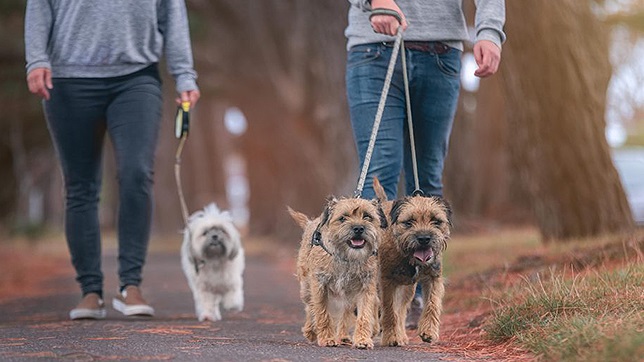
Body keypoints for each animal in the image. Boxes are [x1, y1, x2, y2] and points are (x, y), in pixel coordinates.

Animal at [288, 197, 388, 350]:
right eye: (342, 218)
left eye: (367, 217)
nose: (359, 228)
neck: (347, 258)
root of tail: (312, 223)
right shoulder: (320, 286)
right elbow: (322, 313)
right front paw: (327, 338)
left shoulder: (364, 288)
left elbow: (364, 315)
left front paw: (362, 339)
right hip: (305, 287)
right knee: (310, 306)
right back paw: (310, 330)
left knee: (347, 312)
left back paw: (344, 336)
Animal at [372, 180, 452, 346]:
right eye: (408, 222)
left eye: (436, 221)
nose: (424, 238)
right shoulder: (387, 281)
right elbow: (389, 310)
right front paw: (390, 337)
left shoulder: (434, 277)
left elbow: (432, 304)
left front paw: (428, 331)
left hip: (408, 289)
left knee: (402, 310)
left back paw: (402, 335)